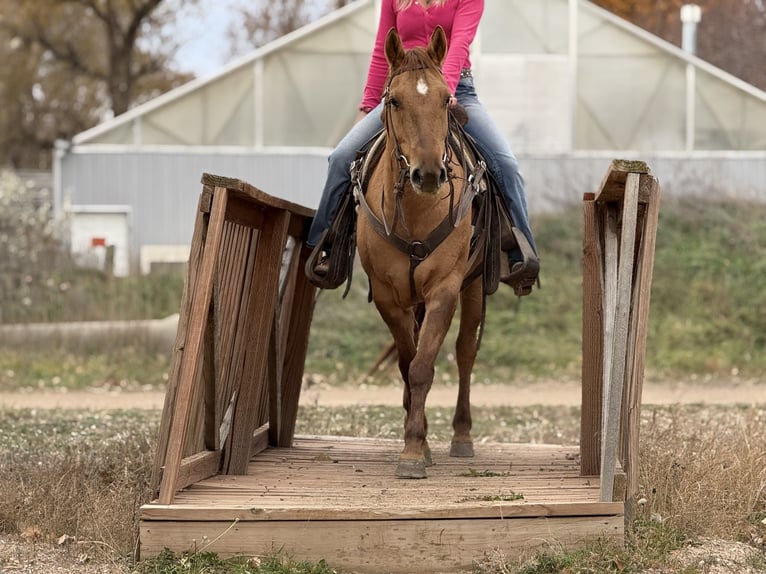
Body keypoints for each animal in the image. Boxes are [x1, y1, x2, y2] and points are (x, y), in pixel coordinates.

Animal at [355, 26, 484, 479]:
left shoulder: (444, 290)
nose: (428, 174)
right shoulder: (389, 296)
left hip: (475, 286)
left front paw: (414, 450)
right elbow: (406, 364)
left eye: (446, 99)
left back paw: (462, 437)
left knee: (465, 353)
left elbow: (423, 367)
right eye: (394, 100)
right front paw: (418, 442)